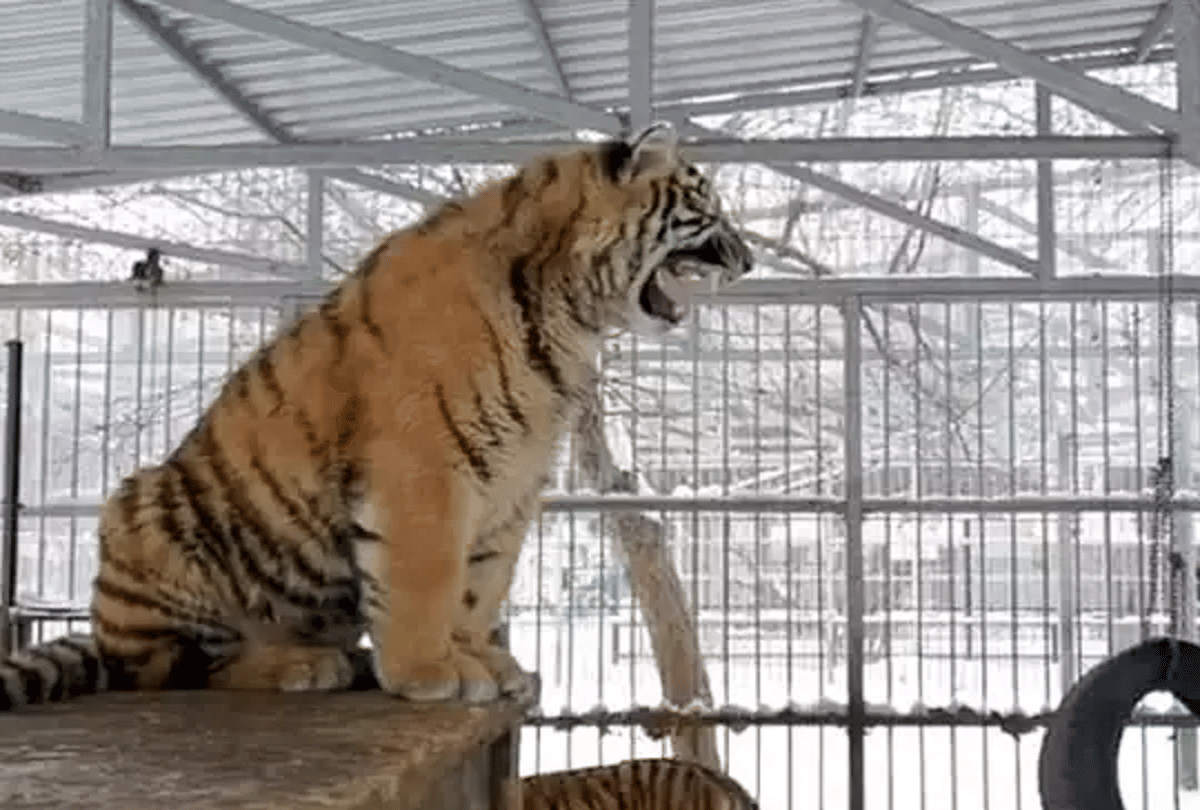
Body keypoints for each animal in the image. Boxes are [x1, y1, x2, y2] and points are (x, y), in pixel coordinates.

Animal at [0, 121, 752, 709]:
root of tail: (102, 634)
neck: (565, 312)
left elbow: (482, 584)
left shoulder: (515, 477)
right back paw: (305, 664)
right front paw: (429, 672)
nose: (747, 260)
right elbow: (427, 575)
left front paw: (482, 659)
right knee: (181, 668)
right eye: (706, 209)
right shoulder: (425, 463)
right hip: (143, 515)